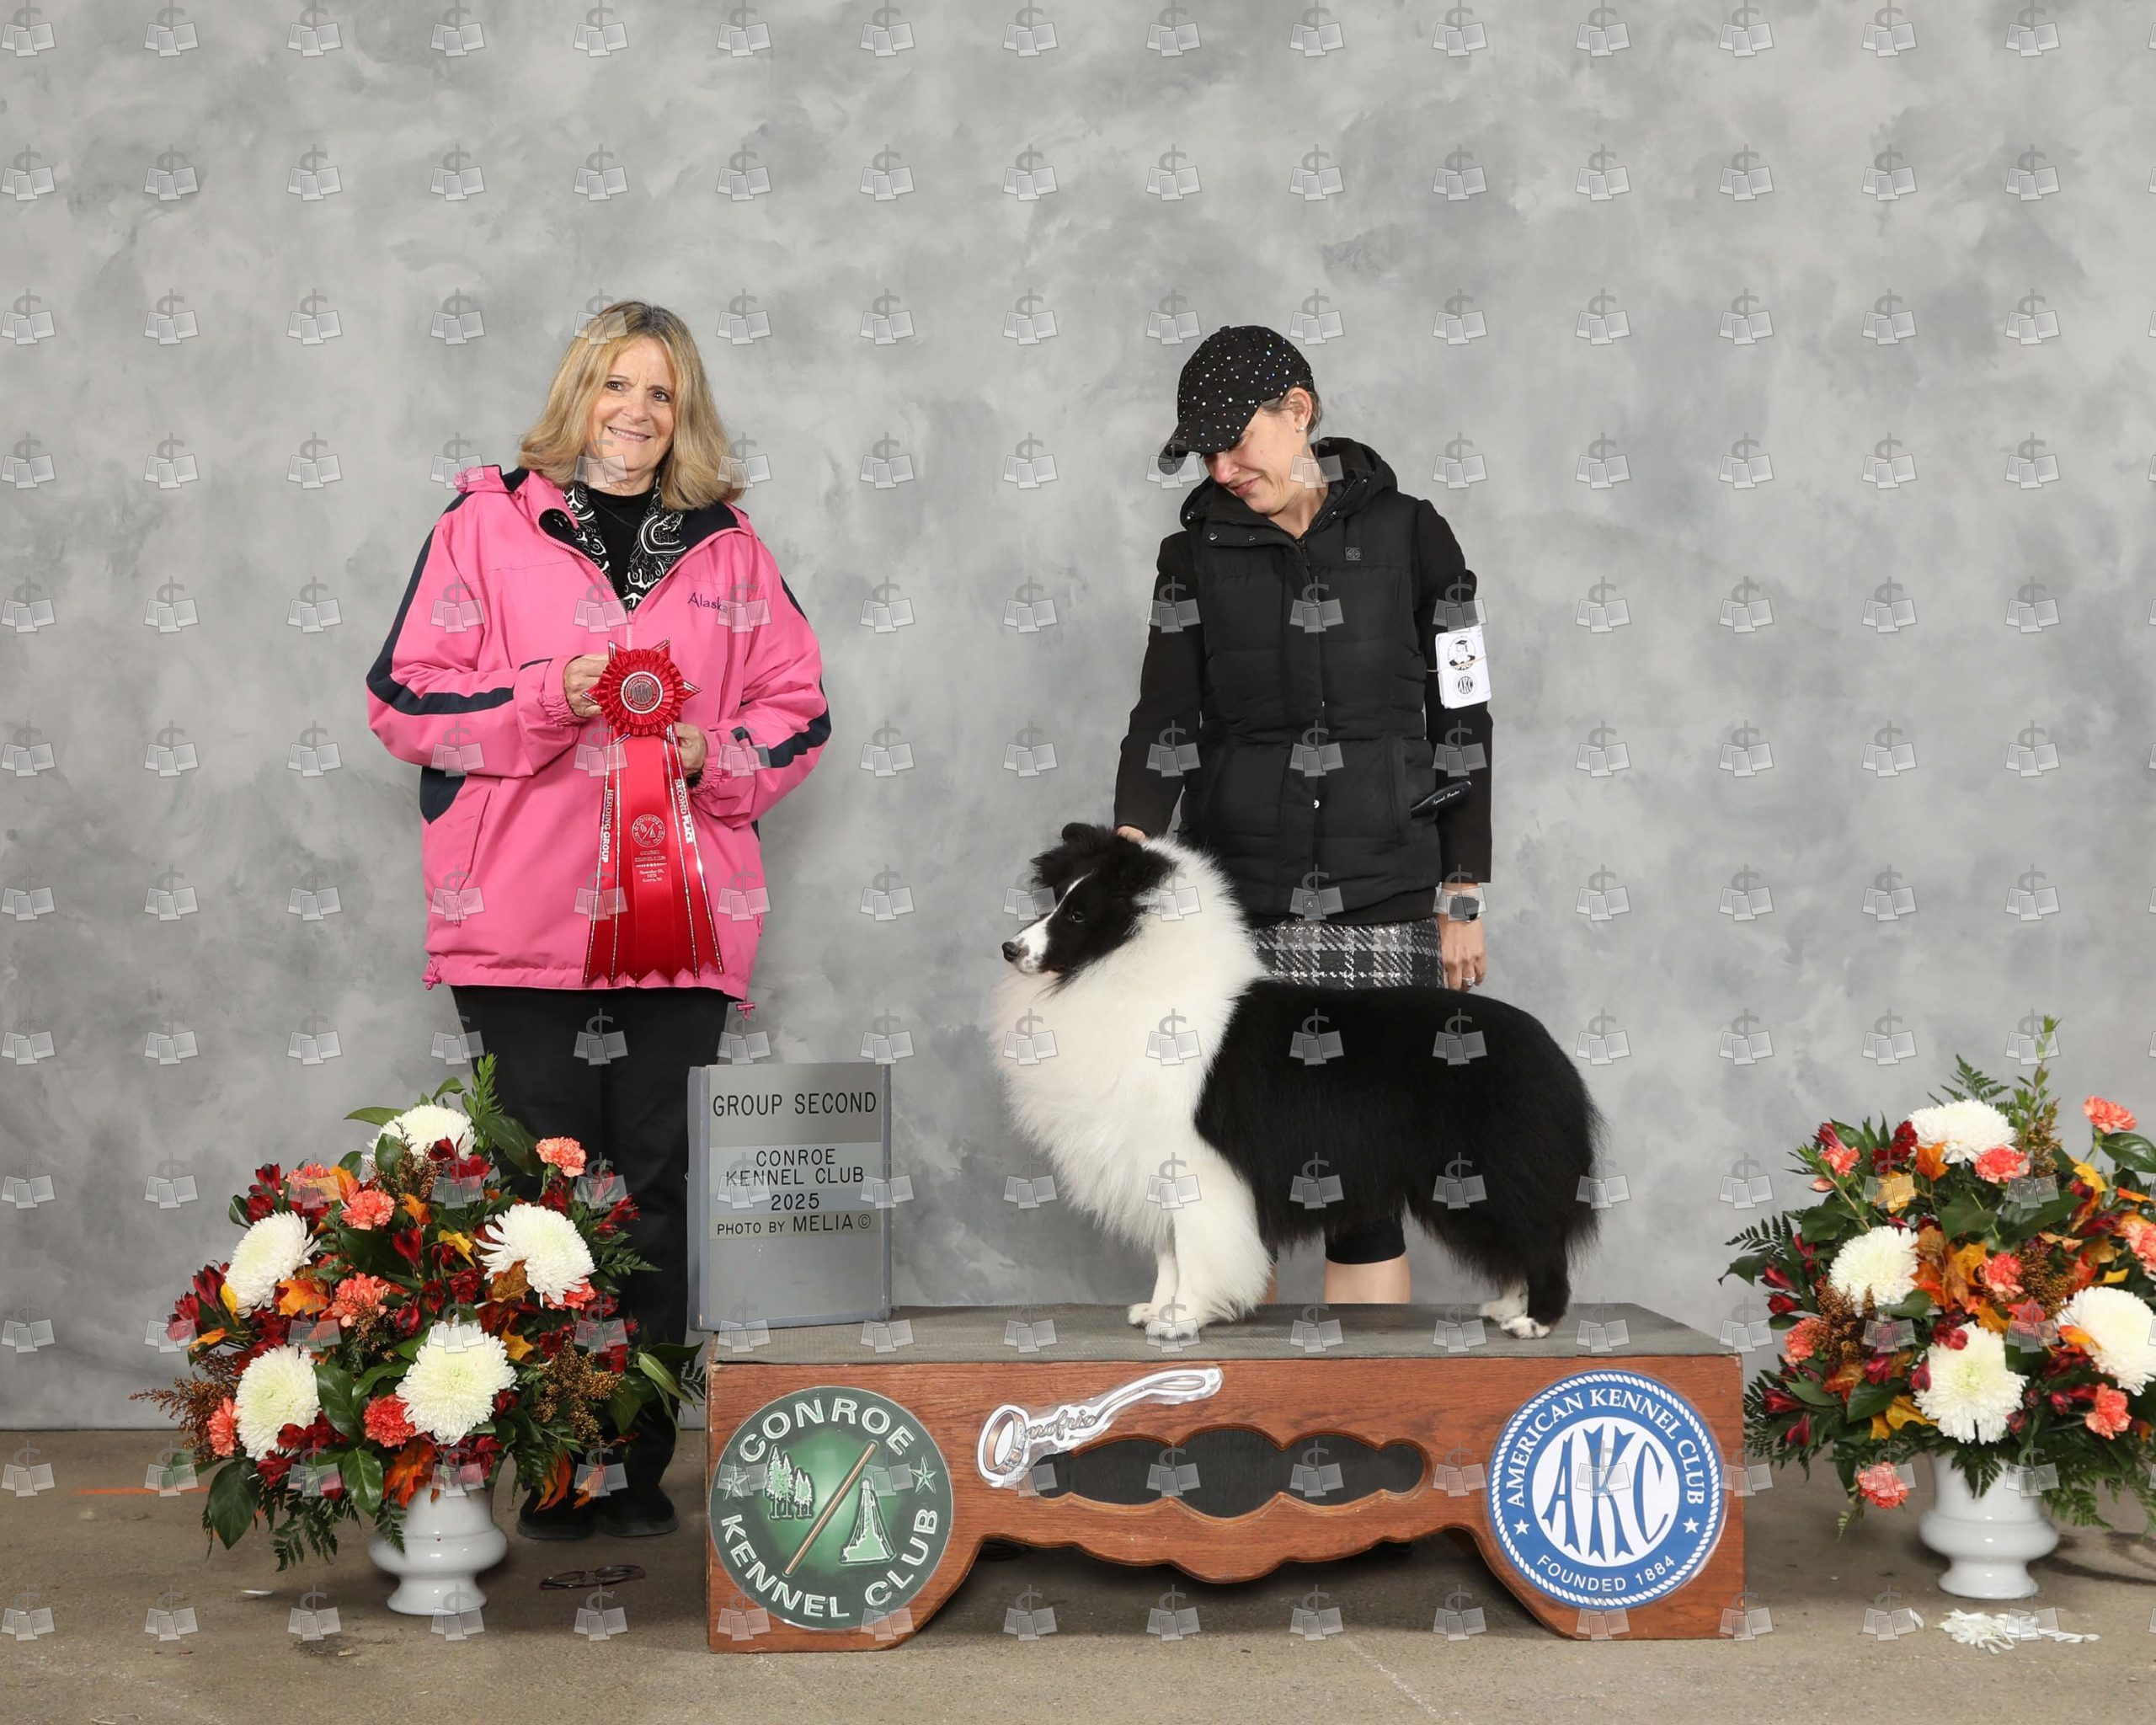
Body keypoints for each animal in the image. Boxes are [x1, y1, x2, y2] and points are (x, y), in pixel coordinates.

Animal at [991, 822, 1603, 1341]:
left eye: (1079, 914)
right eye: (1055, 899)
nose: (1010, 948)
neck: (1127, 973)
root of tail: (1546, 1047)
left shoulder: (1196, 1162)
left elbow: (1194, 1246)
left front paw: (1183, 1319)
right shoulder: (1152, 1157)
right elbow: (1169, 1252)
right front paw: (1159, 1310)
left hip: (1493, 1165)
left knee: (1541, 1238)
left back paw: (1536, 1321)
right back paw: (1507, 1306)